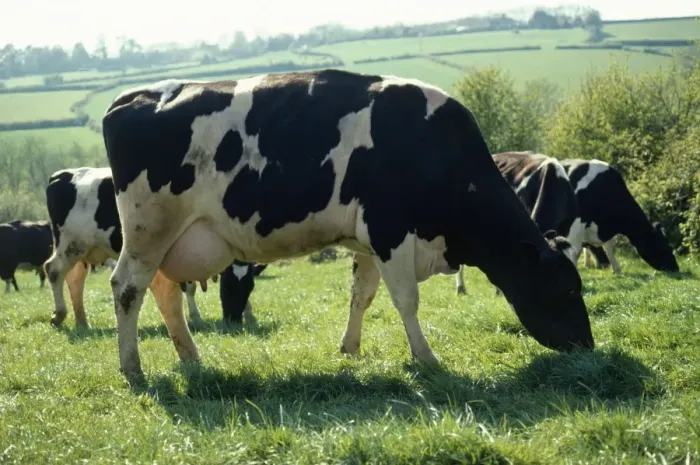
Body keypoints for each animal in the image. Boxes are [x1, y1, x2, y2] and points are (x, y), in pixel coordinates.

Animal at [43, 167, 263, 329]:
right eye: (227, 287)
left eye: (250, 287)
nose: (233, 320)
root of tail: (62, 174)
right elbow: (189, 288)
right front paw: (196, 317)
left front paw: (249, 314)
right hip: (70, 243)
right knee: (53, 270)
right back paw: (59, 315)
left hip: (82, 250)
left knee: (75, 279)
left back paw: (82, 321)